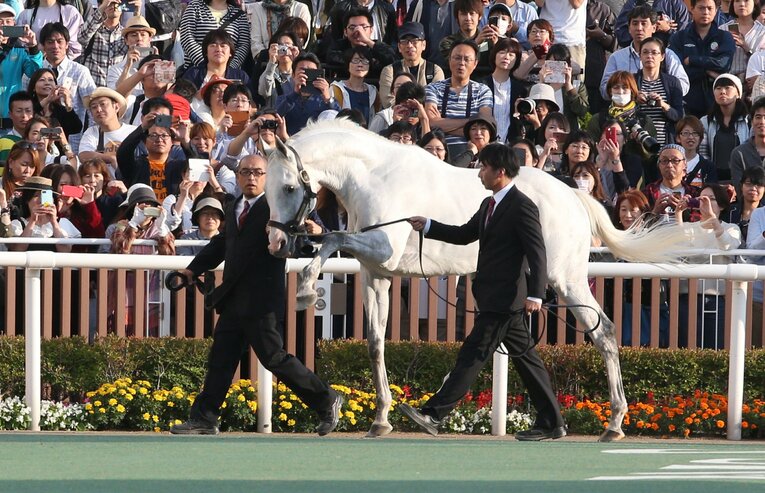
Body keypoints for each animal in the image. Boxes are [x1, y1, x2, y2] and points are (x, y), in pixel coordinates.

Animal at [264, 120, 716, 441]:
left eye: (288, 186)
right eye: (267, 189)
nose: (276, 242)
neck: (375, 177)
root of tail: (574, 195)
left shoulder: (382, 247)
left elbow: (331, 239)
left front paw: (305, 288)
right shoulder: (377, 273)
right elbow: (375, 343)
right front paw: (380, 418)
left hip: (566, 279)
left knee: (603, 331)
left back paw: (614, 423)